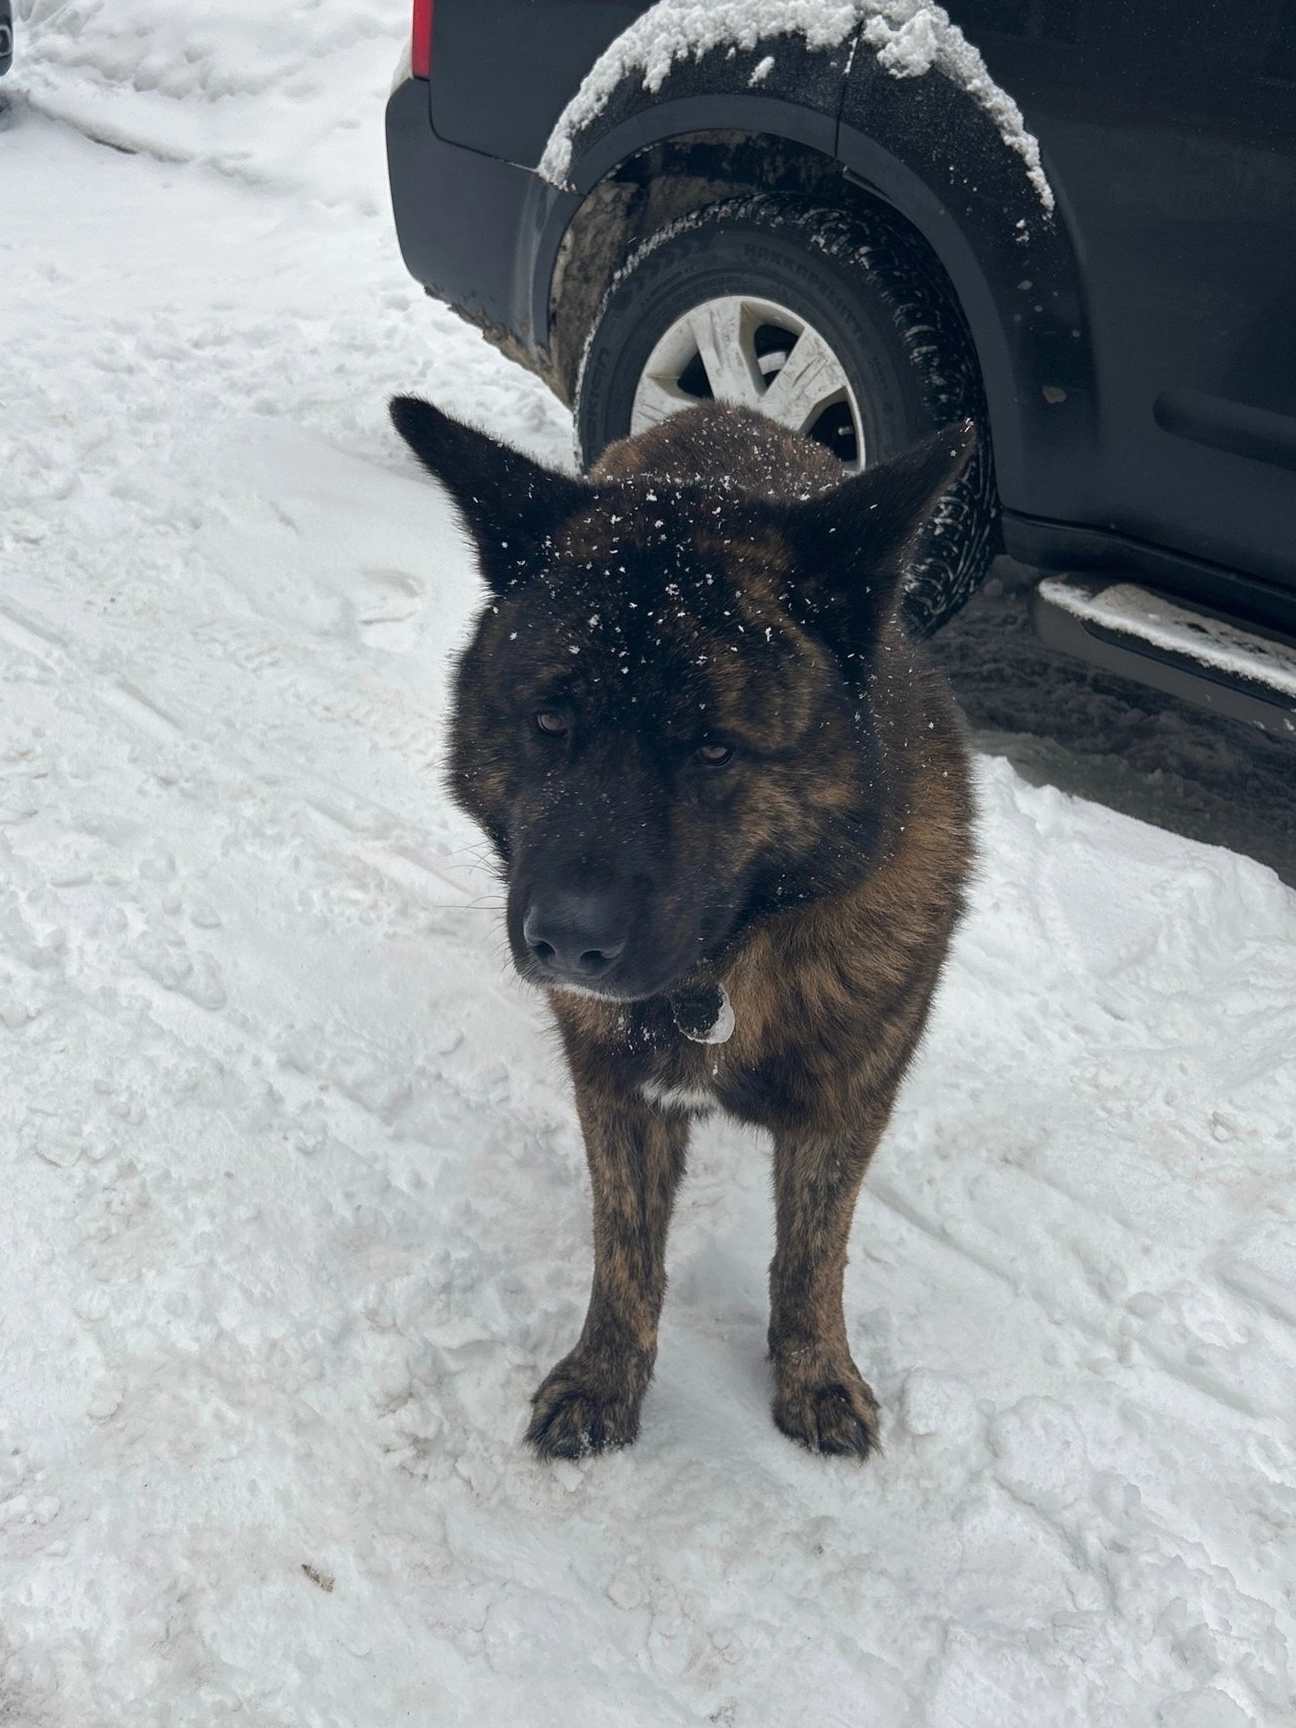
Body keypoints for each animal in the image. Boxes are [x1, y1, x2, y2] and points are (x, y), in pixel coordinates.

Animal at [390, 397, 981, 1465]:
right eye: (550, 721)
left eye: (714, 748)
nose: (567, 945)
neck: (727, 967)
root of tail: (724, 411)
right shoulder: (615, 1090)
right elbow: (624, 1248)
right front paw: (606, 1376)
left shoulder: (847, 1102)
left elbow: (813, 1255)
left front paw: (816, 1372)